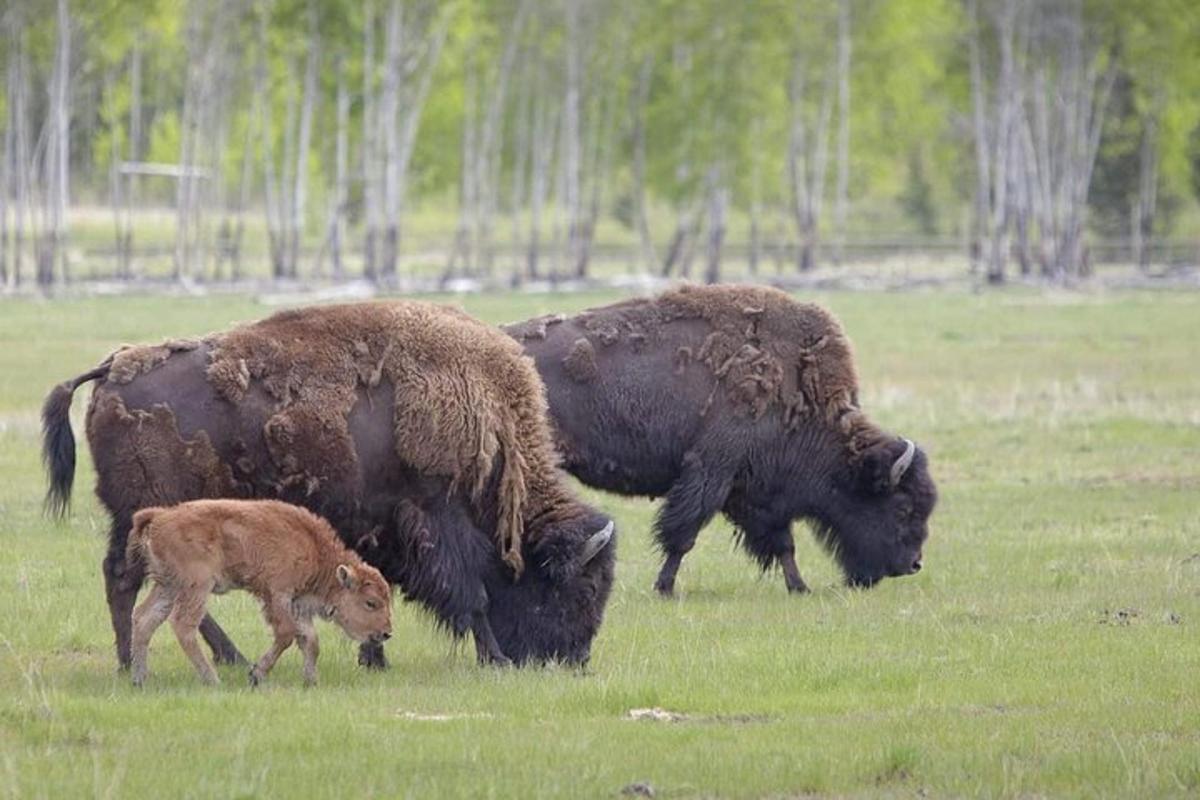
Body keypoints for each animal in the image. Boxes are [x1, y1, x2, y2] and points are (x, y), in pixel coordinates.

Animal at [130, 496, 393, 686]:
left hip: (168, 586)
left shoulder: (297, 602)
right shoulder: (277, 594)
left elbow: (310, 640)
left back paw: (140, 679)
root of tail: (161, 516)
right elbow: (286, 634)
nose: (386, 633)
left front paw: (311, 680)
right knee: (183, 625)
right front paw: (256, 674)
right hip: (196, 586)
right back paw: (212, 679)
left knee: (144, 618)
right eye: (371, 602)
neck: (314, 548)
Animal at [501, 286, 931, 594]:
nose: (913, 564)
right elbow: (683, 534)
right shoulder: (711, 472)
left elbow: (783, 542)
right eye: (902, 507)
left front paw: (799, 586)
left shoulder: (756, 491)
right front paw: (664, 587)